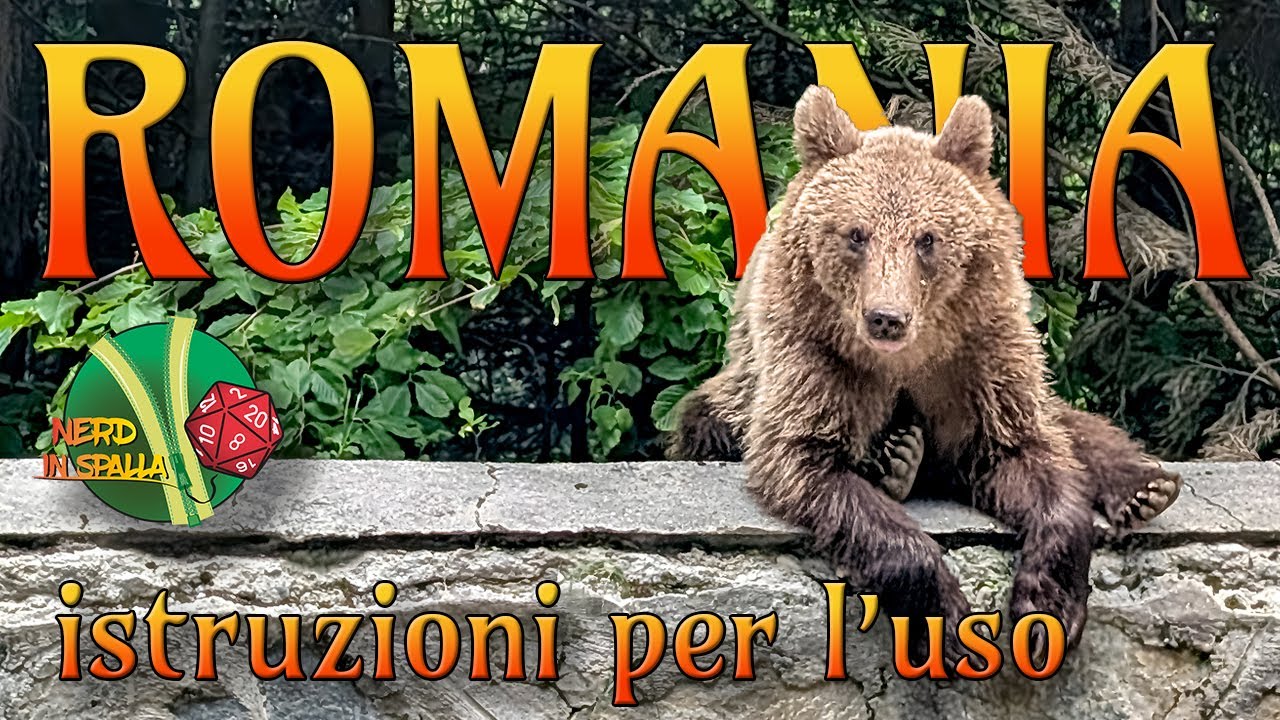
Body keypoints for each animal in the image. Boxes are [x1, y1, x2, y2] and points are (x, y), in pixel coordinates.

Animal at [669, 85, 1182, 665]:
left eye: (928, 238)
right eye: (856, 233)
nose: (886, 317)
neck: (907, 358)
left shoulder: (979, 360)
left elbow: (1027, 453)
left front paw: (1048, 608)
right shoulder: (815, 358)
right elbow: (807, 461)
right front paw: (947, 621)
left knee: (1068, 425)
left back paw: (1144, 487)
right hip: (737, 389)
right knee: (708, 422)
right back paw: (898, 460)